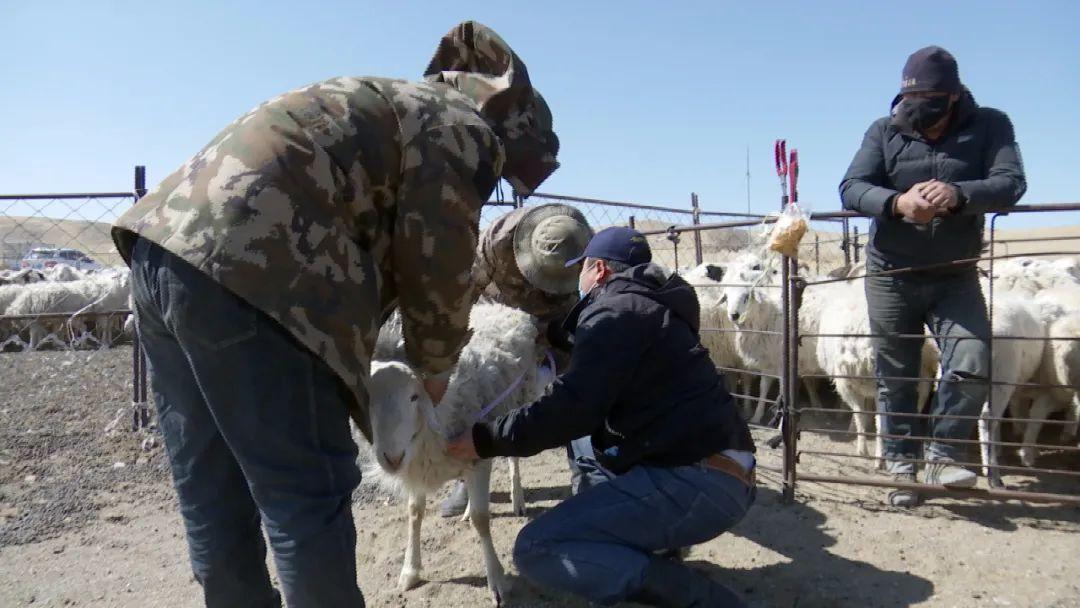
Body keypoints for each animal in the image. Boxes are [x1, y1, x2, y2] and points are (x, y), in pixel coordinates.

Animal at [367, 302, 548, 604]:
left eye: (414, 396)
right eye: (366, 401)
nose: (392, 459)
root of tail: (503, 306)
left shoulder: (477, 457)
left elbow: (481, 520)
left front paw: (496, 580)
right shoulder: (417, 466)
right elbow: (414, 513)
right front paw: (410, 571)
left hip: (517, 401)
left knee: (513, 457)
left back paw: (517, 498)